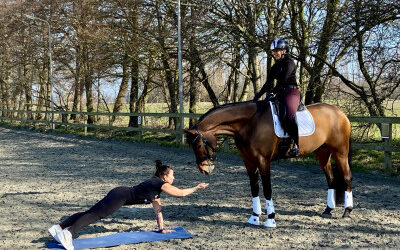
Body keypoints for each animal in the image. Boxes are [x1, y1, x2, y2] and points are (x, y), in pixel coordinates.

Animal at [184, 100, 354, 228]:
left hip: (340, 152)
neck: (249, 123)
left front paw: (270, 218)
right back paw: (328, 210)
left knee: (347, 177)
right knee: (330, 178)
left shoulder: (263, 160)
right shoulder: (249, 161)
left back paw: (347, 211)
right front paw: (254, 217)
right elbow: (254, 188)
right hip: (322, 152)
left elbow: (267, 188)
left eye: (198, 145)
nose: (204, 169)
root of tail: (339, 112)